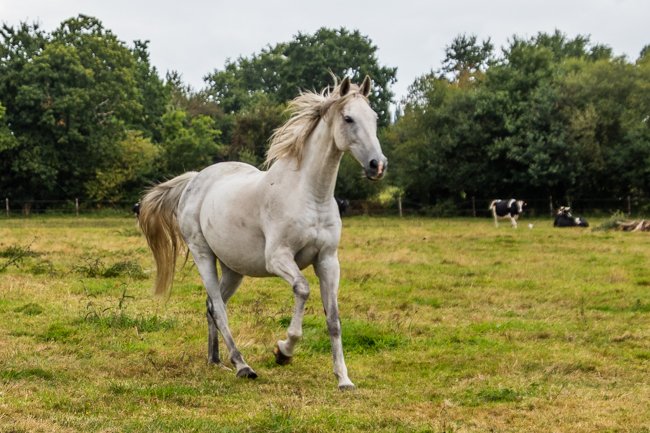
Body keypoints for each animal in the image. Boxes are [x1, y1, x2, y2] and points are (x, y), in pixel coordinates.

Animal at [137, 76, 387, 389]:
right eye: (348, 118)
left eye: (374, 118)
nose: (378, 165)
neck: (310, 195)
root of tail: (195, 179)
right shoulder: (278, 258)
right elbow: (302, 289)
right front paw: (283, 351)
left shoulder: (328, 261)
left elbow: (334, 319)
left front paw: (343, 379)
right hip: (202, 254)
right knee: (218, 307)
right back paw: (242, 365)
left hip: (233, 268)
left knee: (211, 305)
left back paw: (216, 360)